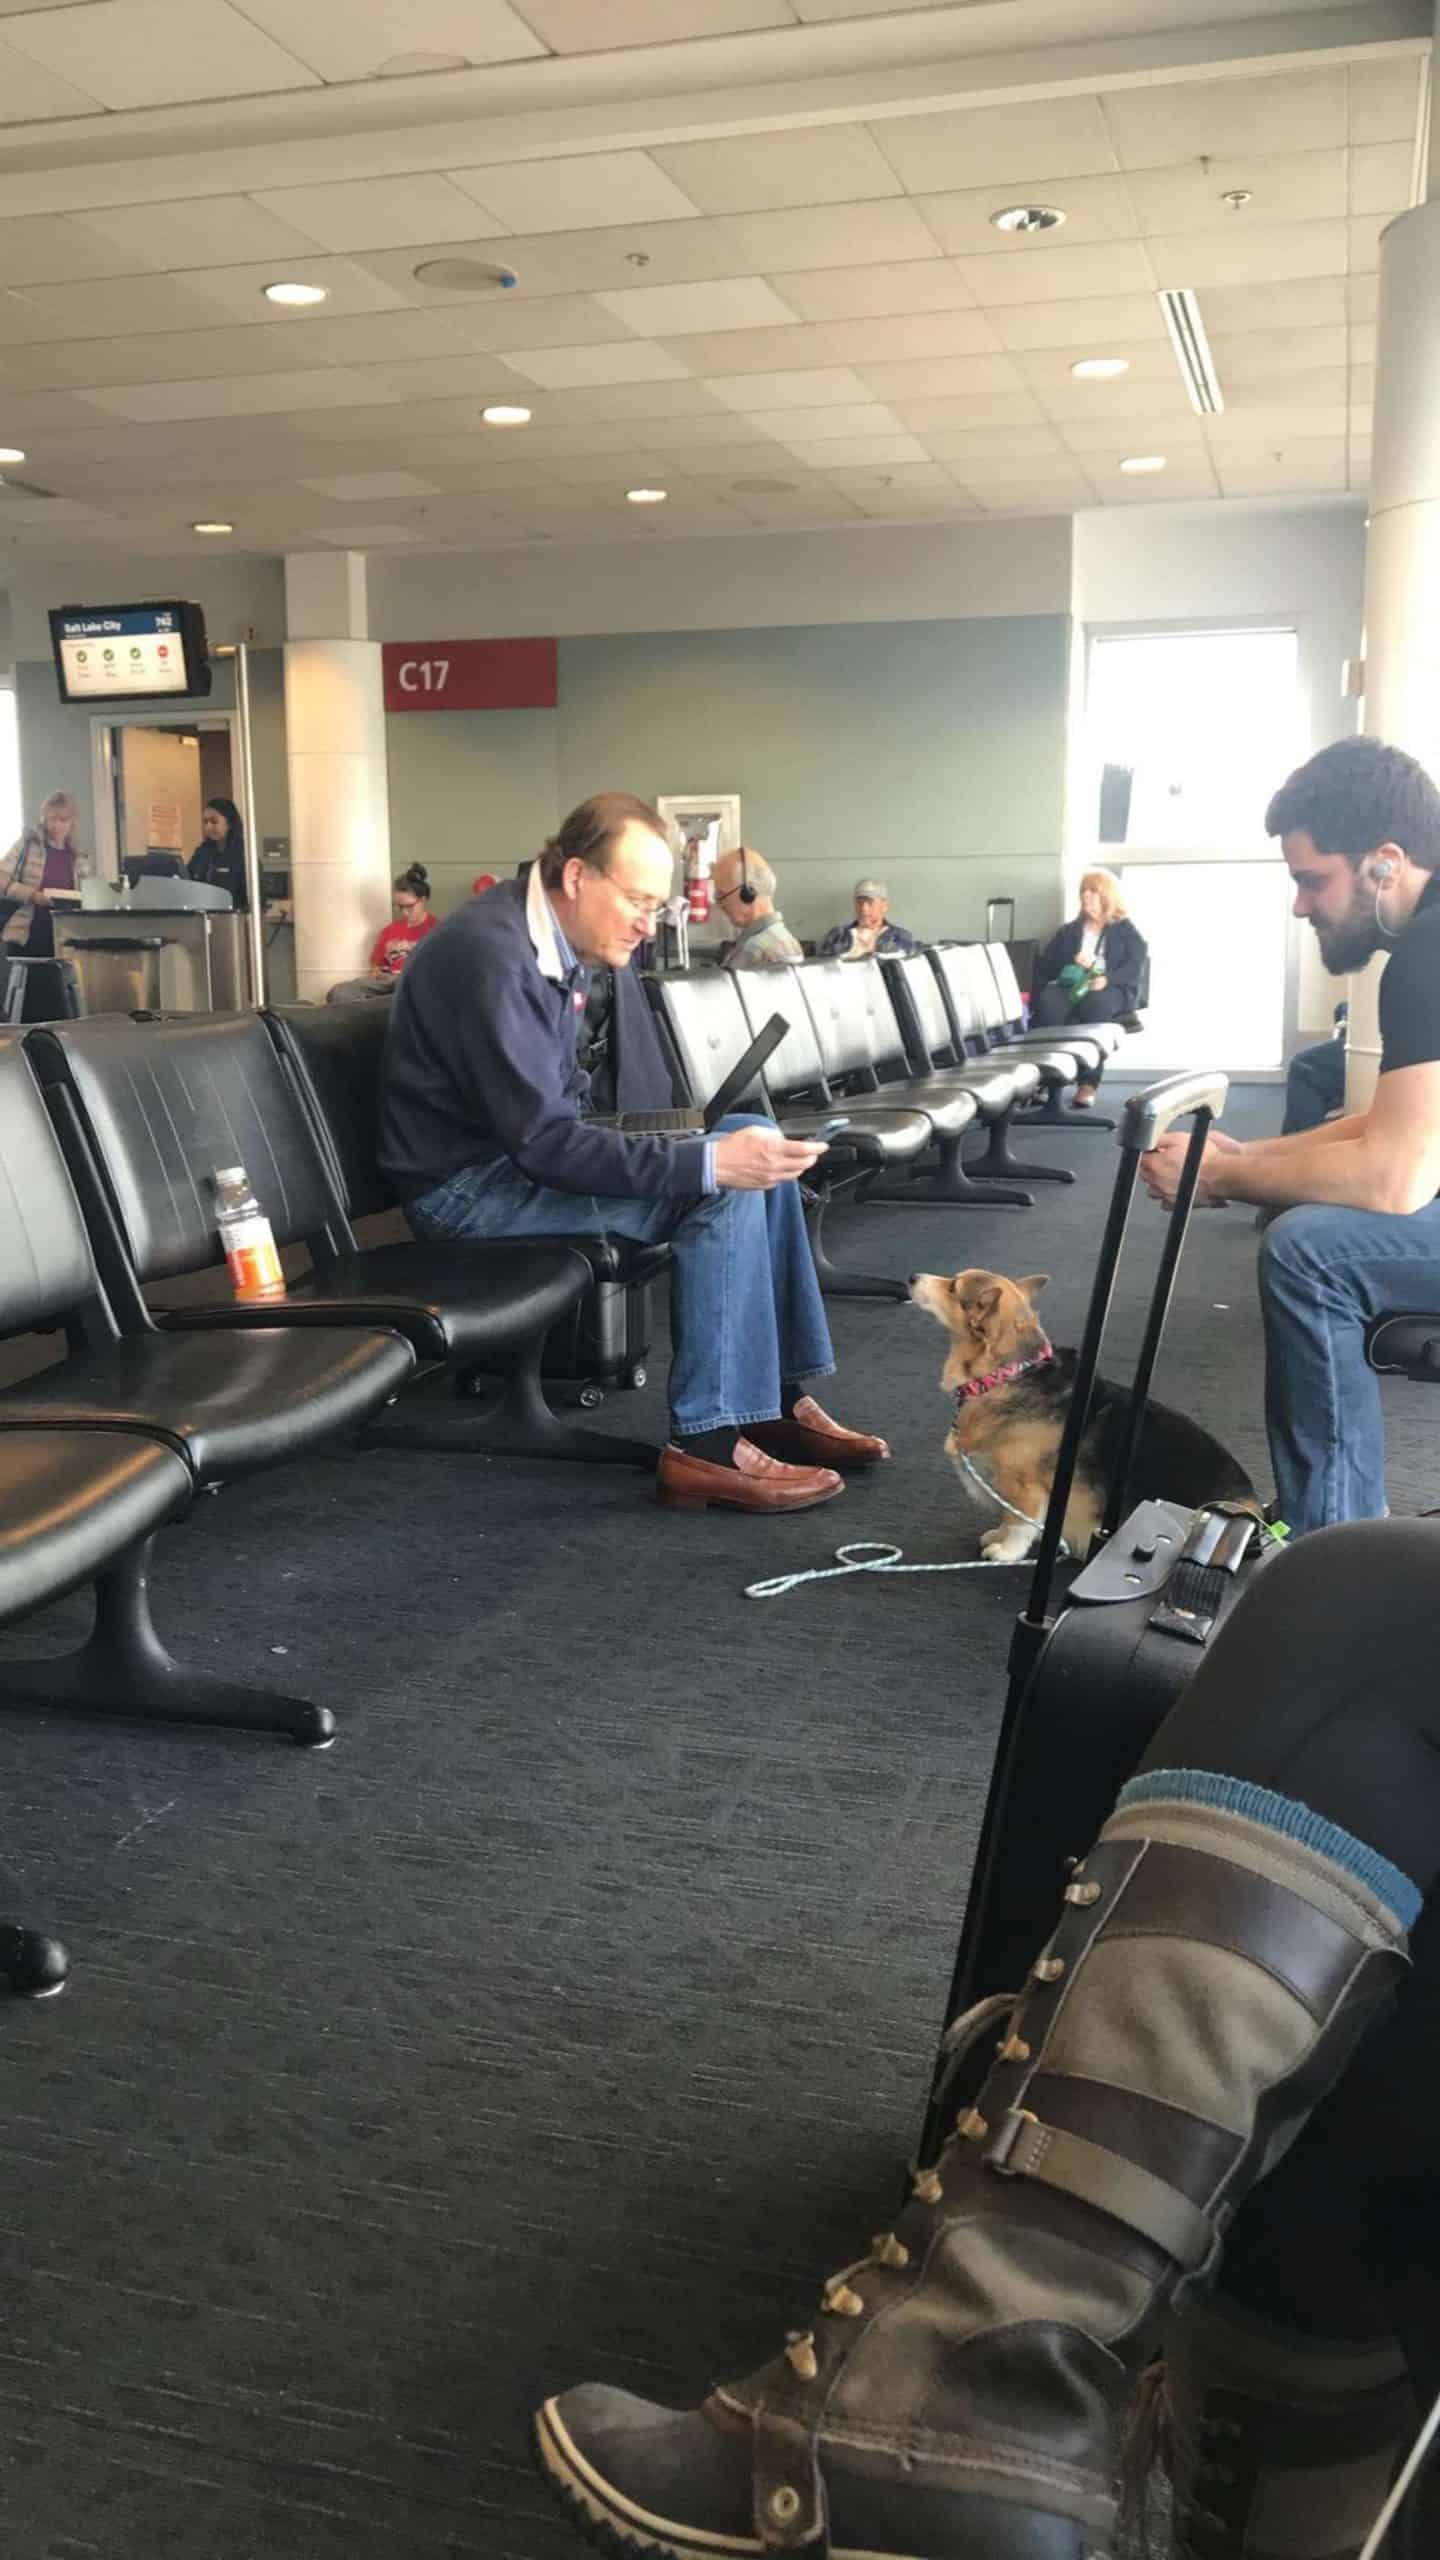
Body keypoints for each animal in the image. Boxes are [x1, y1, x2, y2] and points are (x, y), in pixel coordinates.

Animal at [907, 1264, 1255, 1556]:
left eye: (953, 1287)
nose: (912, 1277)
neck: (1007, 1374)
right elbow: (1006, 1518)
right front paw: (997, 1536)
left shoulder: (1025, 1488)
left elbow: (1019, 1523)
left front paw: (1005, 1552)